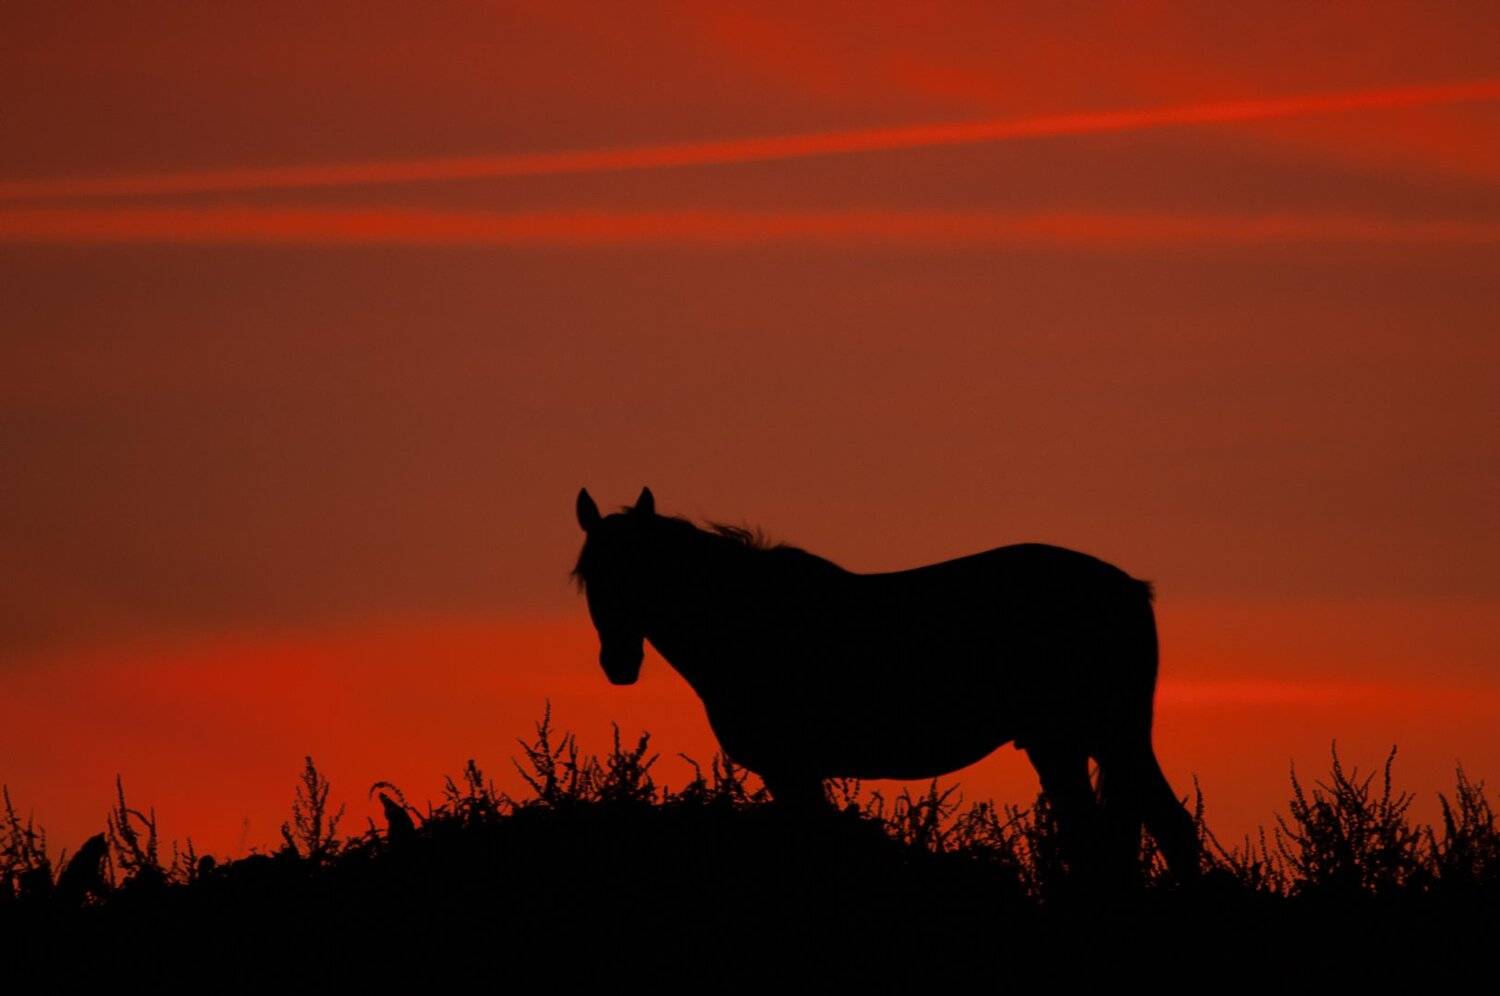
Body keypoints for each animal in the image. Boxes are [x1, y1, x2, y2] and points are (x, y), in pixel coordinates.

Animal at [571, 486, 1201, 884]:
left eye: (641, 570)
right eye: (589, 576)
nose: (619, 663)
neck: (754, 620)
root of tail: (1128, 587)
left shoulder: (792, 768)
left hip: (1111, 736)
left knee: (1170, 830)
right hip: (1062, 744)